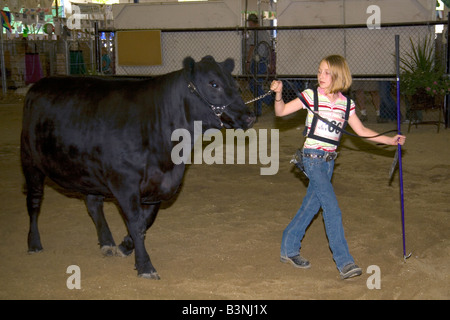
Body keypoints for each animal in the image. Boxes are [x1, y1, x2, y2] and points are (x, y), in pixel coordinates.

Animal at [21, 56, 255, 278]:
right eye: (213, 84)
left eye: (234, 82)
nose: (249, 116)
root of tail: (39, 85)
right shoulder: (124, 182)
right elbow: (136, 223)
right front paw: (145, 266)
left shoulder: (157, 186)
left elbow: (146, 221)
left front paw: (124, 246)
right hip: (30, 162)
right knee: (34, 202)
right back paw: (34, 243)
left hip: (88, 171)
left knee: (93, 204)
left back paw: (107, 243)